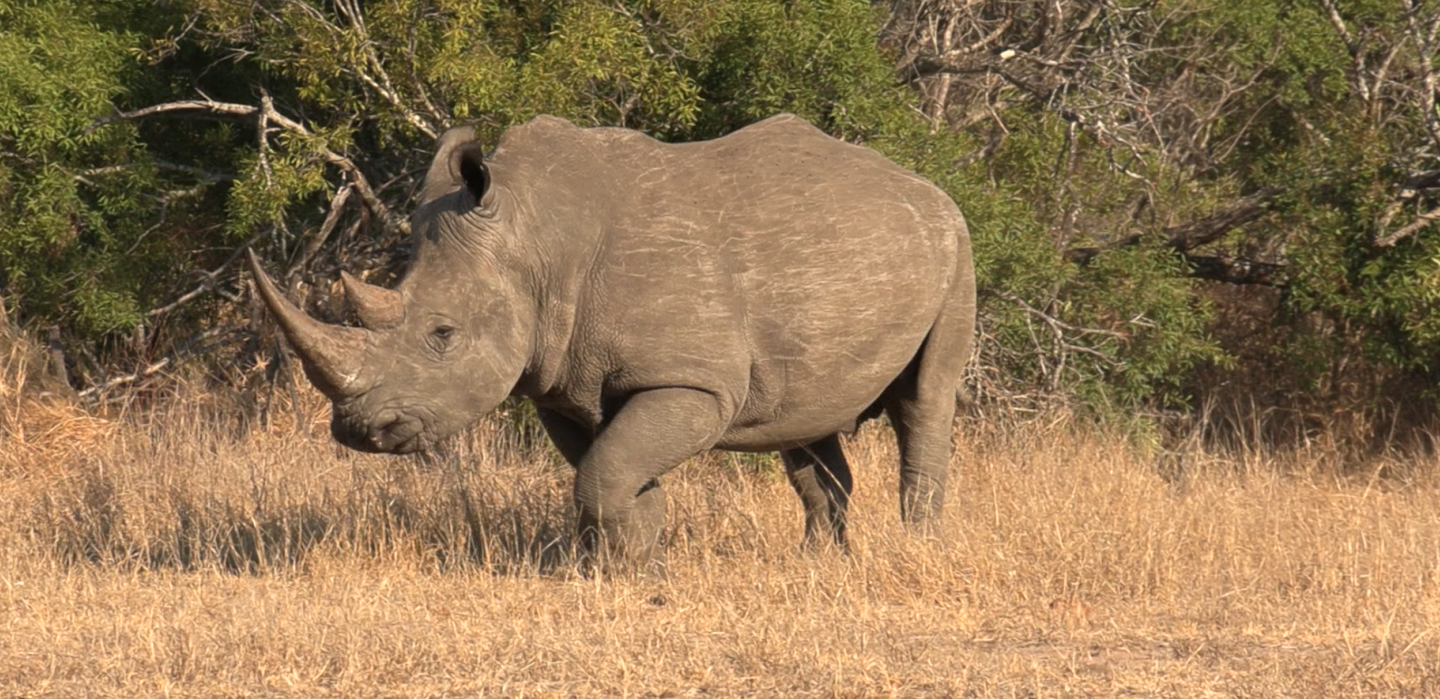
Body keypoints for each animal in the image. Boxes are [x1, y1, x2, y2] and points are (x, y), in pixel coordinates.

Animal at [248, 114, 975, 561]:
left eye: (443, 334)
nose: (360, 431)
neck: (535, 240)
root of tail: (924, 185)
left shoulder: (692, 382)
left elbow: (606, 474)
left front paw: (630, 574)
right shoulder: (561, 385)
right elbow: (612, 474)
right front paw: (633, 575)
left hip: (956, 244)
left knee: (925, 400)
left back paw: (918, 550)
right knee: (804, 422)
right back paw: (818, 565)